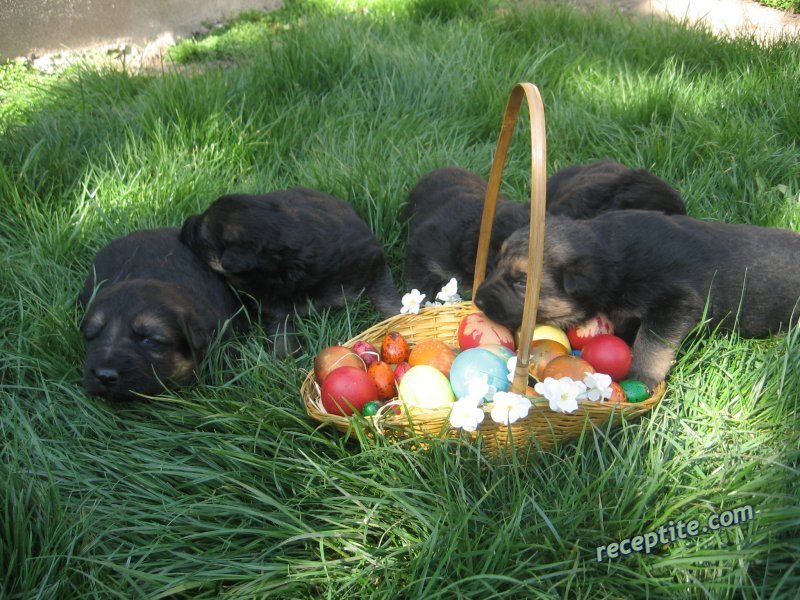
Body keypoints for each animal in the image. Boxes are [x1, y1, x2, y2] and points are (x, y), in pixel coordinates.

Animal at [178, 188, 396, 354]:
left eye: (199, 235)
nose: (183, 225)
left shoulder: (371, 260)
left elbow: (385, 296)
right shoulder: (273, 307)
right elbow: (281, 333)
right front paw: (284, 359)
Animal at [476, 211, 800, 386]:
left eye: (521, 282)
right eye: (497, 262)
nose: (478, 300)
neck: (613, 257)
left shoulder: (676, 301)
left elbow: (652, 343)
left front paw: (641, 376)